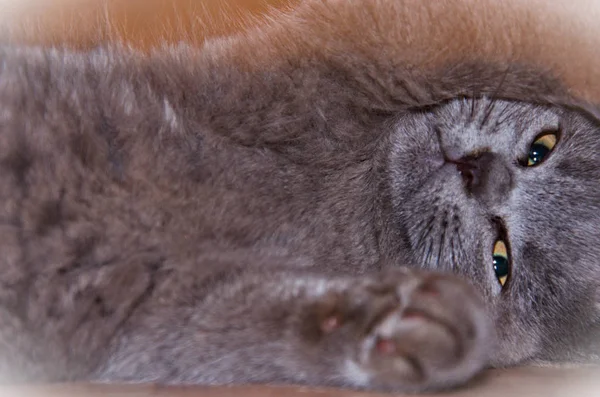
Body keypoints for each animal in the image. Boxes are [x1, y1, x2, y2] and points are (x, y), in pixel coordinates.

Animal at [1, 0, 600, 392]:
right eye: (541, 148)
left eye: (501, 261)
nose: (478, 171)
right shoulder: (342, 58)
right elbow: (476, 38)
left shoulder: (159, 303)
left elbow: (233, 323)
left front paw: (417, 326)